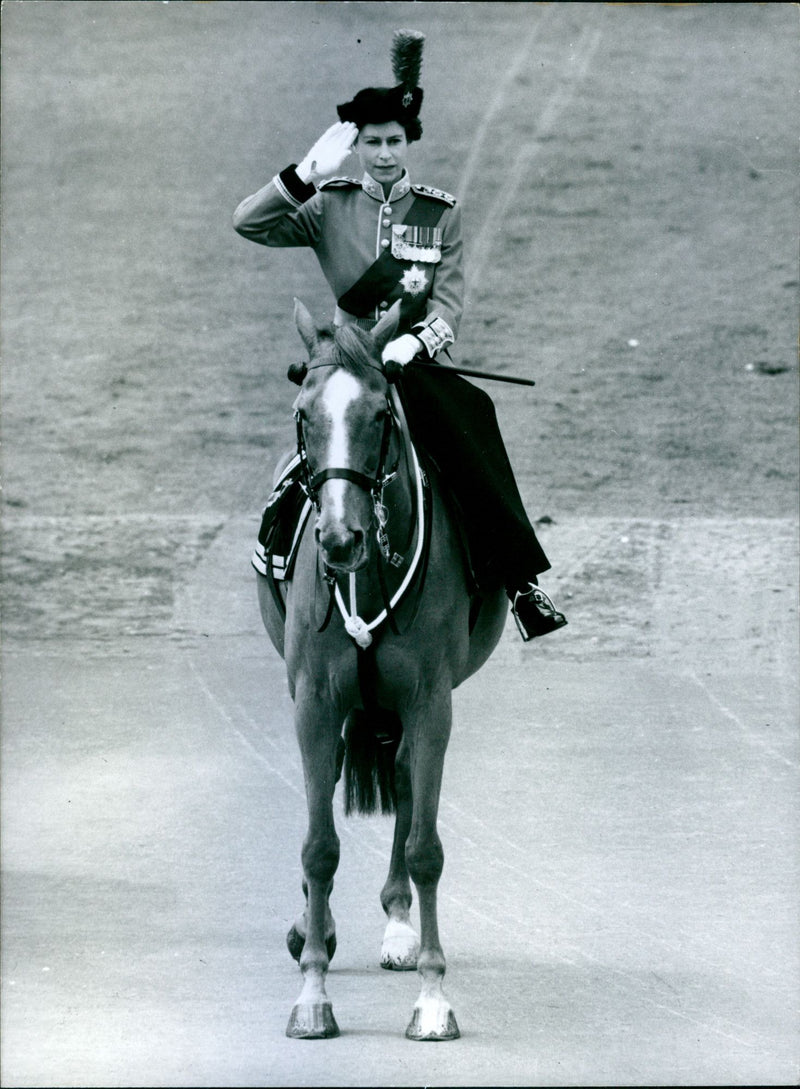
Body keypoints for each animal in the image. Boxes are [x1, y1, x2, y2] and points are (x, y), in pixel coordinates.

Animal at [257, 298, 507, 1036]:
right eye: (305, 413)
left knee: (400, 780)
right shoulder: (313, 701)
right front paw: (312, 991)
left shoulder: (430, 704)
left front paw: (433, 994)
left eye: (378, 415)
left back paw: (398, 924)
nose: (340, 539)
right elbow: (320, 844)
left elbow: (425, 845)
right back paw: (313, 924)